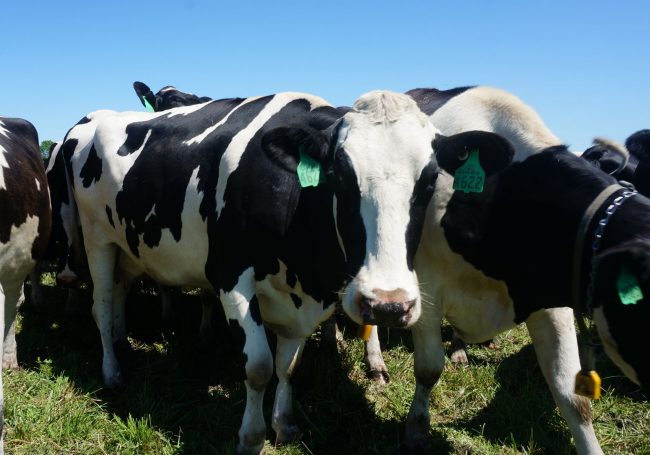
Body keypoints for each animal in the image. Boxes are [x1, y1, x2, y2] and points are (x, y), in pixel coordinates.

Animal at [60, 90, 494, 454]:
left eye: (431, 179)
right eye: (340, 175)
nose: (388, 305)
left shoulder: (301, 299)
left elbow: (288, 365)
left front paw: (283, 425)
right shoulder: (230, 276)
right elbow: (259, 366)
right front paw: (250, 438)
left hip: (126, 247)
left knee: (119, 293)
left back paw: (122, 341)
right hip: (95, 236)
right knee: (101, 304)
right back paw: (112, 372)